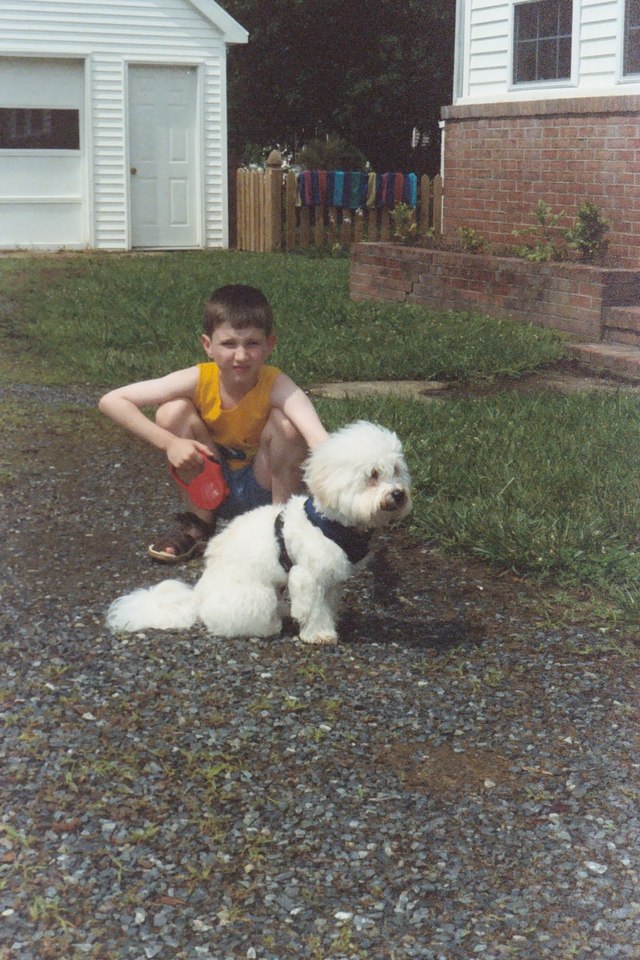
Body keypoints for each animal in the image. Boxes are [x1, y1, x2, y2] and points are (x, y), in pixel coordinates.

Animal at [107, 422, 412, 640]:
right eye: (372, 475)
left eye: (396, 470)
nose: (398, 494)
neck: (331, 522)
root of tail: (198, 598)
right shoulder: (307, 575)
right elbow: (314, 609)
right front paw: (320, 634)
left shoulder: (331, 577)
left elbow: (328, 602)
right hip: (259, 596)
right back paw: (270, 626)